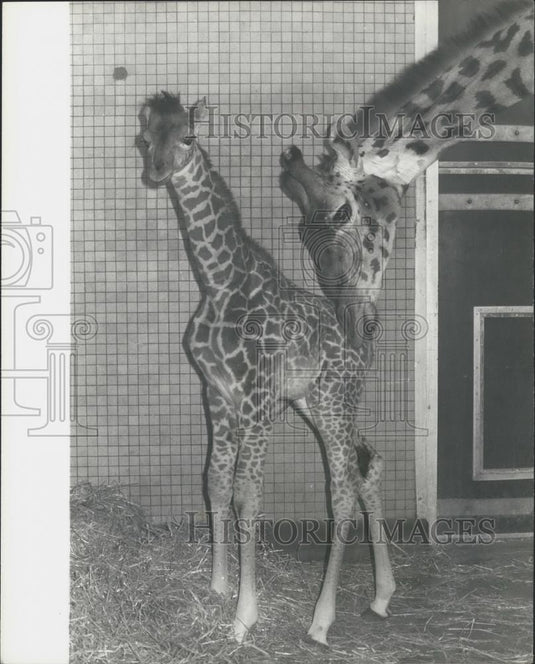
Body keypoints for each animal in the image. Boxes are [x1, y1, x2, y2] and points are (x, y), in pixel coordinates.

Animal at [140, 92, 395, 645]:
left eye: (188, 137)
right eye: (145, 139)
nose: (155, 171)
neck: (218, 283)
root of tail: (361, 342)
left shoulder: (257, 399)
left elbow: (247, 496)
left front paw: (243, 617)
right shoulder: (217, 392)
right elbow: (214, 481)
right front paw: (218, 588)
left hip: (334, 398)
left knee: (343, 489)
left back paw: (321, 621)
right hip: (315, 401)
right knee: (367, 465)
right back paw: (382, 595)